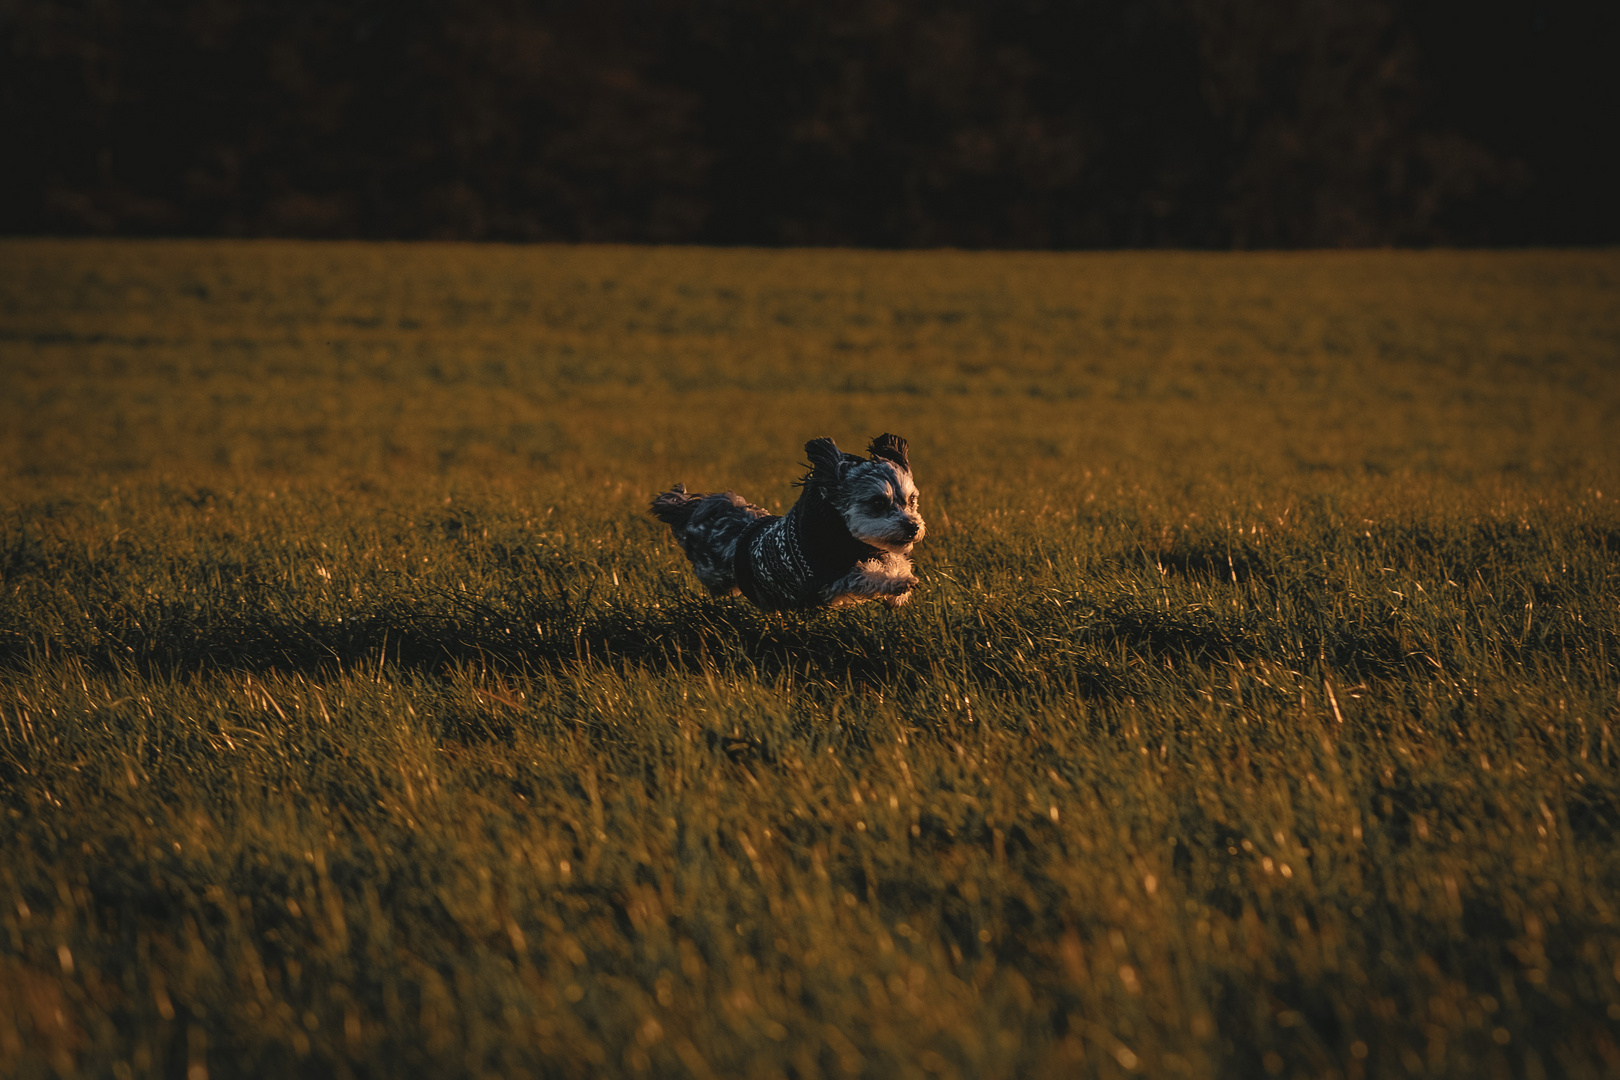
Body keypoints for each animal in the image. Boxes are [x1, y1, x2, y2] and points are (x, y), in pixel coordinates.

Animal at [644, 433, 926, 612]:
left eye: (911, 500)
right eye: (877, 502)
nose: (913, 526)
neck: (844, 538)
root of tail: (694, 508)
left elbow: (897, 559)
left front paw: (899, 590)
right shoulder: (827, 583)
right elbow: (863, 575)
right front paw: (900, 583)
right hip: (715, 576)